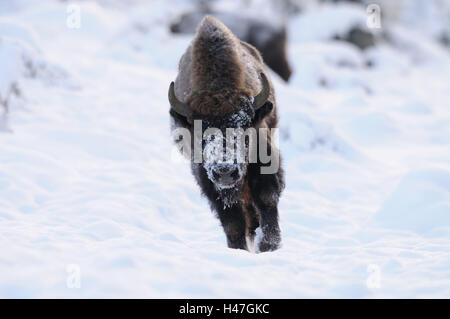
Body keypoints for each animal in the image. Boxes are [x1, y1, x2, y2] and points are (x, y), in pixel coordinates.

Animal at [169, 16, 284, 254]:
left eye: (244, 129)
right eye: (200, 133)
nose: (224, 171)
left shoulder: (264, 156)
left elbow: (267, 197)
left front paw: (269, 246)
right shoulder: (207, 178)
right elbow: (231, 220)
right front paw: (239, 249)